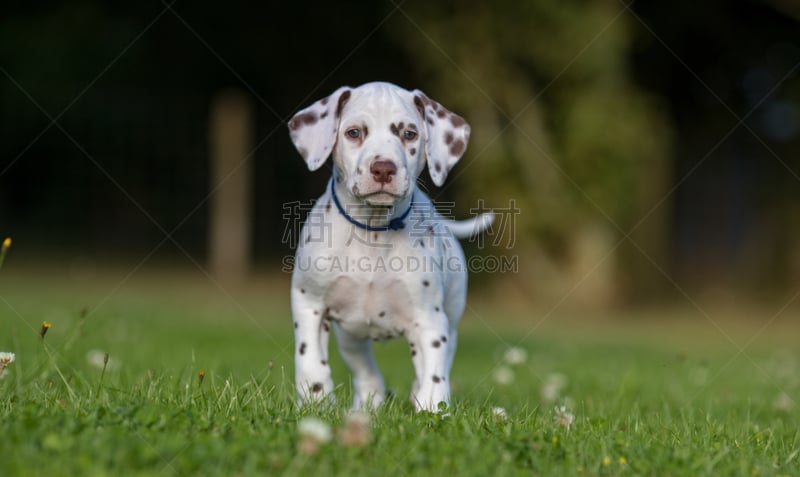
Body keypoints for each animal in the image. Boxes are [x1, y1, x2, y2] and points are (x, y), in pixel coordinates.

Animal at [284, 81, 490, 410]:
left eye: (409, 134)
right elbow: (311, 361)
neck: (373, 230)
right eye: (354, 132)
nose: (383, 168)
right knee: (366, 371)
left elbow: (434, 373)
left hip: (449, 319)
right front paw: (317, 402)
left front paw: (432, 408)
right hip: (350, 336)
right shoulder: (309, 304)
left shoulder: (429, 319)